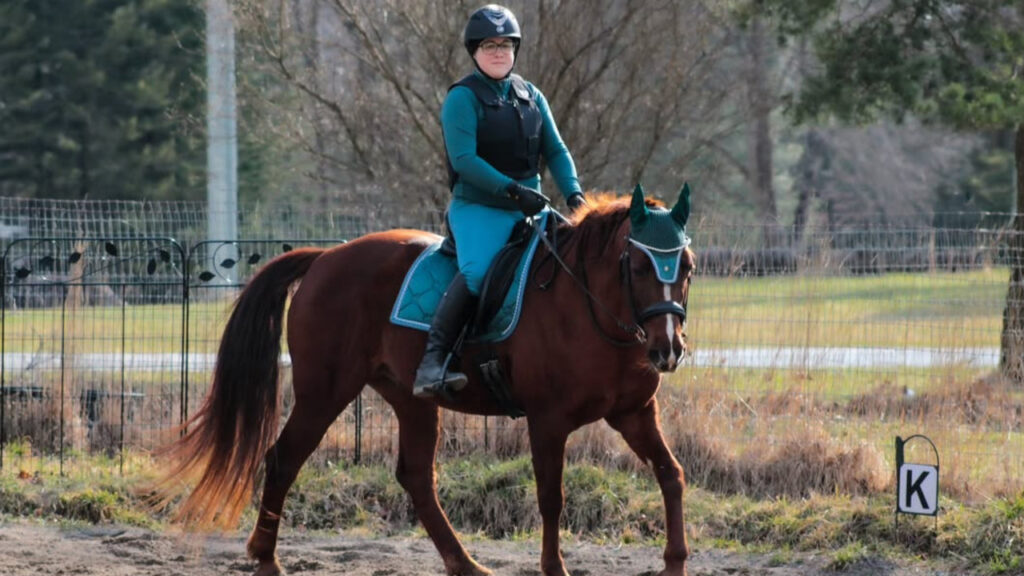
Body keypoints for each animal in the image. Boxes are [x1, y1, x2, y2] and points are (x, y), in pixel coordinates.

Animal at [156, 185, 696, 576]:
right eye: (640, 265)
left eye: (687, 267)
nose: (667, 349)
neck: (589, 307)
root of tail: (326, 258)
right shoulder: (548, 421)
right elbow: (551, 497)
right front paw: (554, 568)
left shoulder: (633, 414)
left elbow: (671, 474)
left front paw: (675, 563)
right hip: (324, 393)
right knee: (283, 458)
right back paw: (267, 559)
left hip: (411, 400)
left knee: (415, 477)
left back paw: (466, 564)